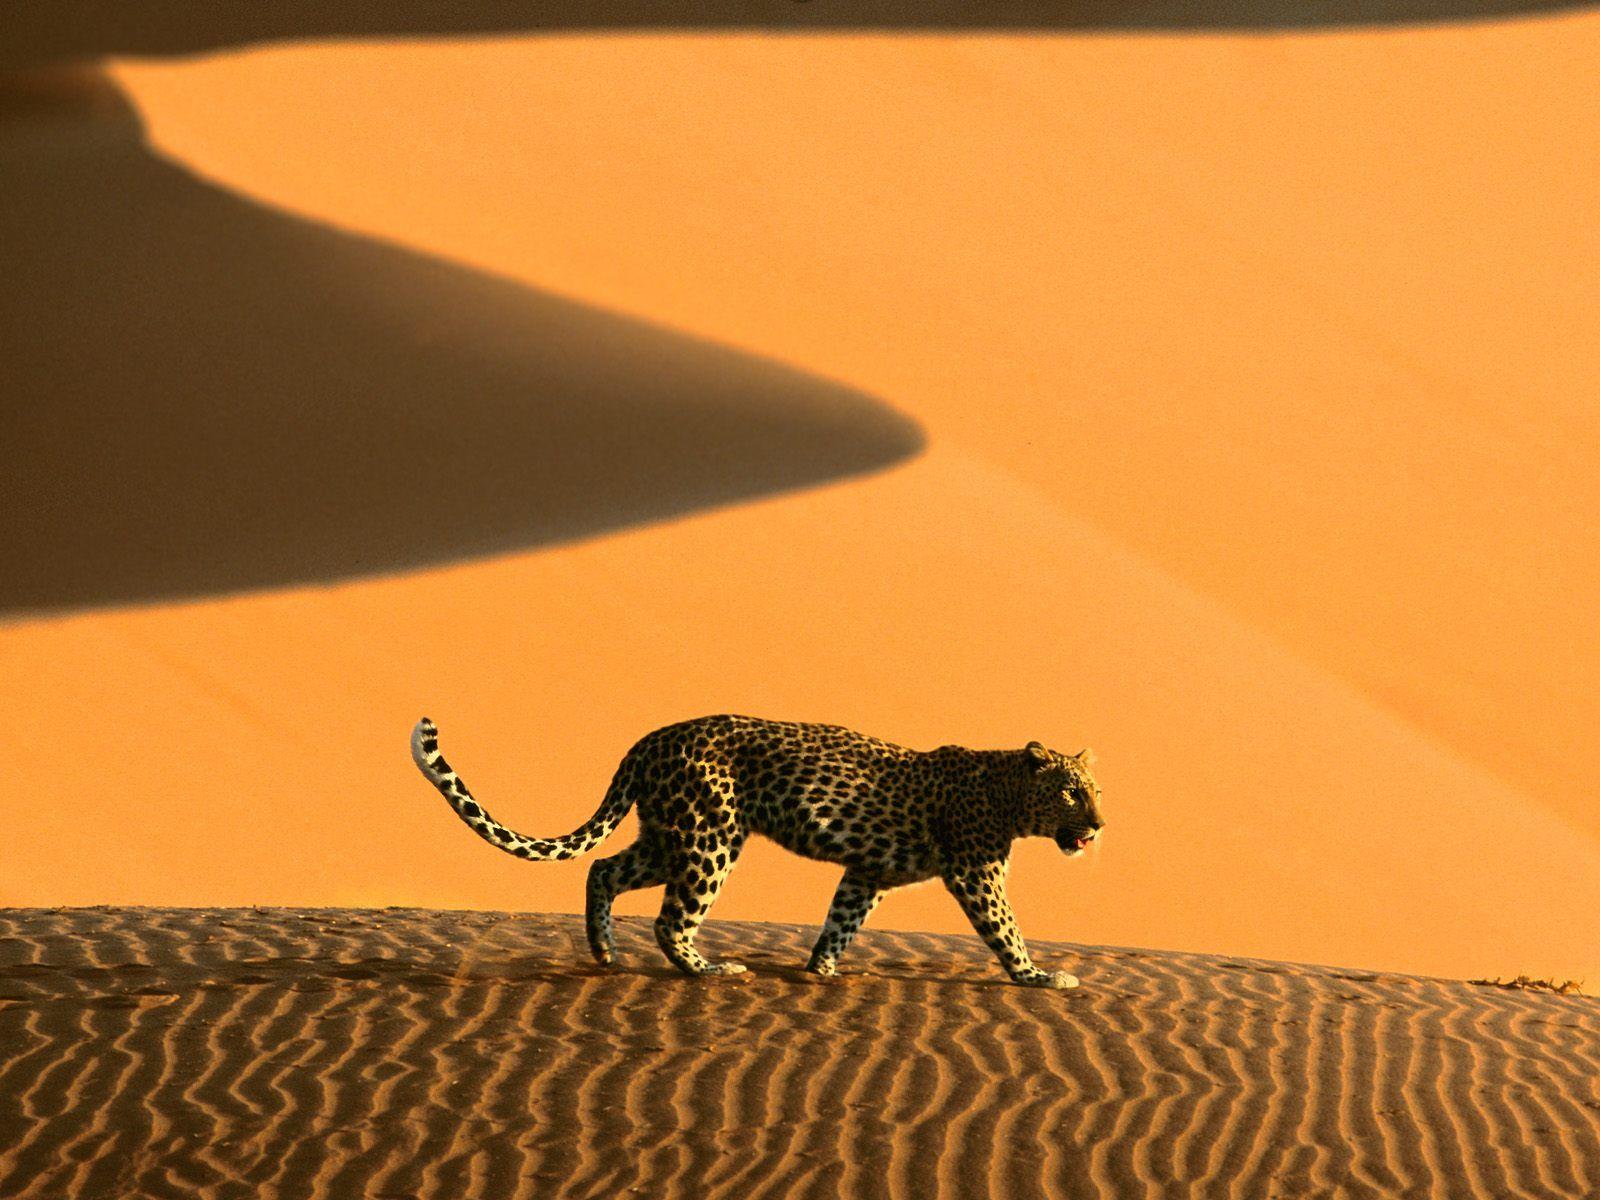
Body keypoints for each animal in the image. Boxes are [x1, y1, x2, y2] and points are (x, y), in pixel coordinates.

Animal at [409, 713, 1100, 985]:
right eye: (1071, 793)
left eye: (1095, 791)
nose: (1098, 826)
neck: (1009, 794)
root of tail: (648, 740)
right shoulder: (976, 872)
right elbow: (1005, 929)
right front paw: (1039, 977)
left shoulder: (868, 871)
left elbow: (842, 920)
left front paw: (820, 970)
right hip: (709, 838)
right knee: (670, 919)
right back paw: (708, 969)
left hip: (667, 837)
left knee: (603, 869)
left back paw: (604, 954)